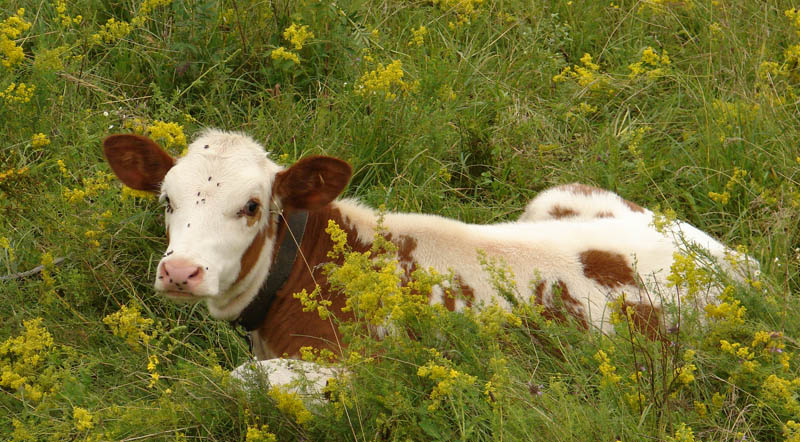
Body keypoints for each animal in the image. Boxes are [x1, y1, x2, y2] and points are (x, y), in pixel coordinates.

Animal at [103, 129, 756, 392]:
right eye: (167, 200)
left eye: (252, 206)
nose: (181, 271)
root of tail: (735, 260)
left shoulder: (361, 369)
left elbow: (240, 383)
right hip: (555, 196)